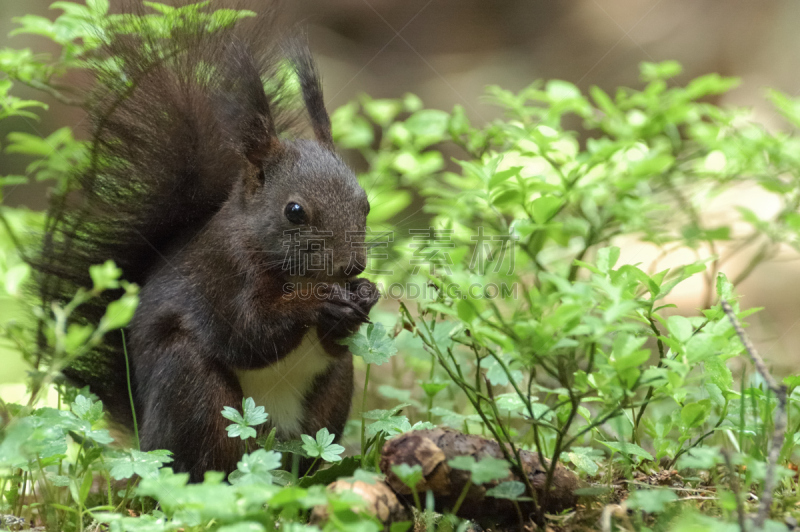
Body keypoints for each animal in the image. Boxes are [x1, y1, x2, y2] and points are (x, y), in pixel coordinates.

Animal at [31, 1, 378, 482]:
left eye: (366, 203)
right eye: (295, 212)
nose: (353, 267)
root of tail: (145, 433)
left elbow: (328, 342)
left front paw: (366, 294)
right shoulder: (221, 275)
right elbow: (248, 336)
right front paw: (317, 303)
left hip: (331, 395)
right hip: (191, 387)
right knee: (204, 467)